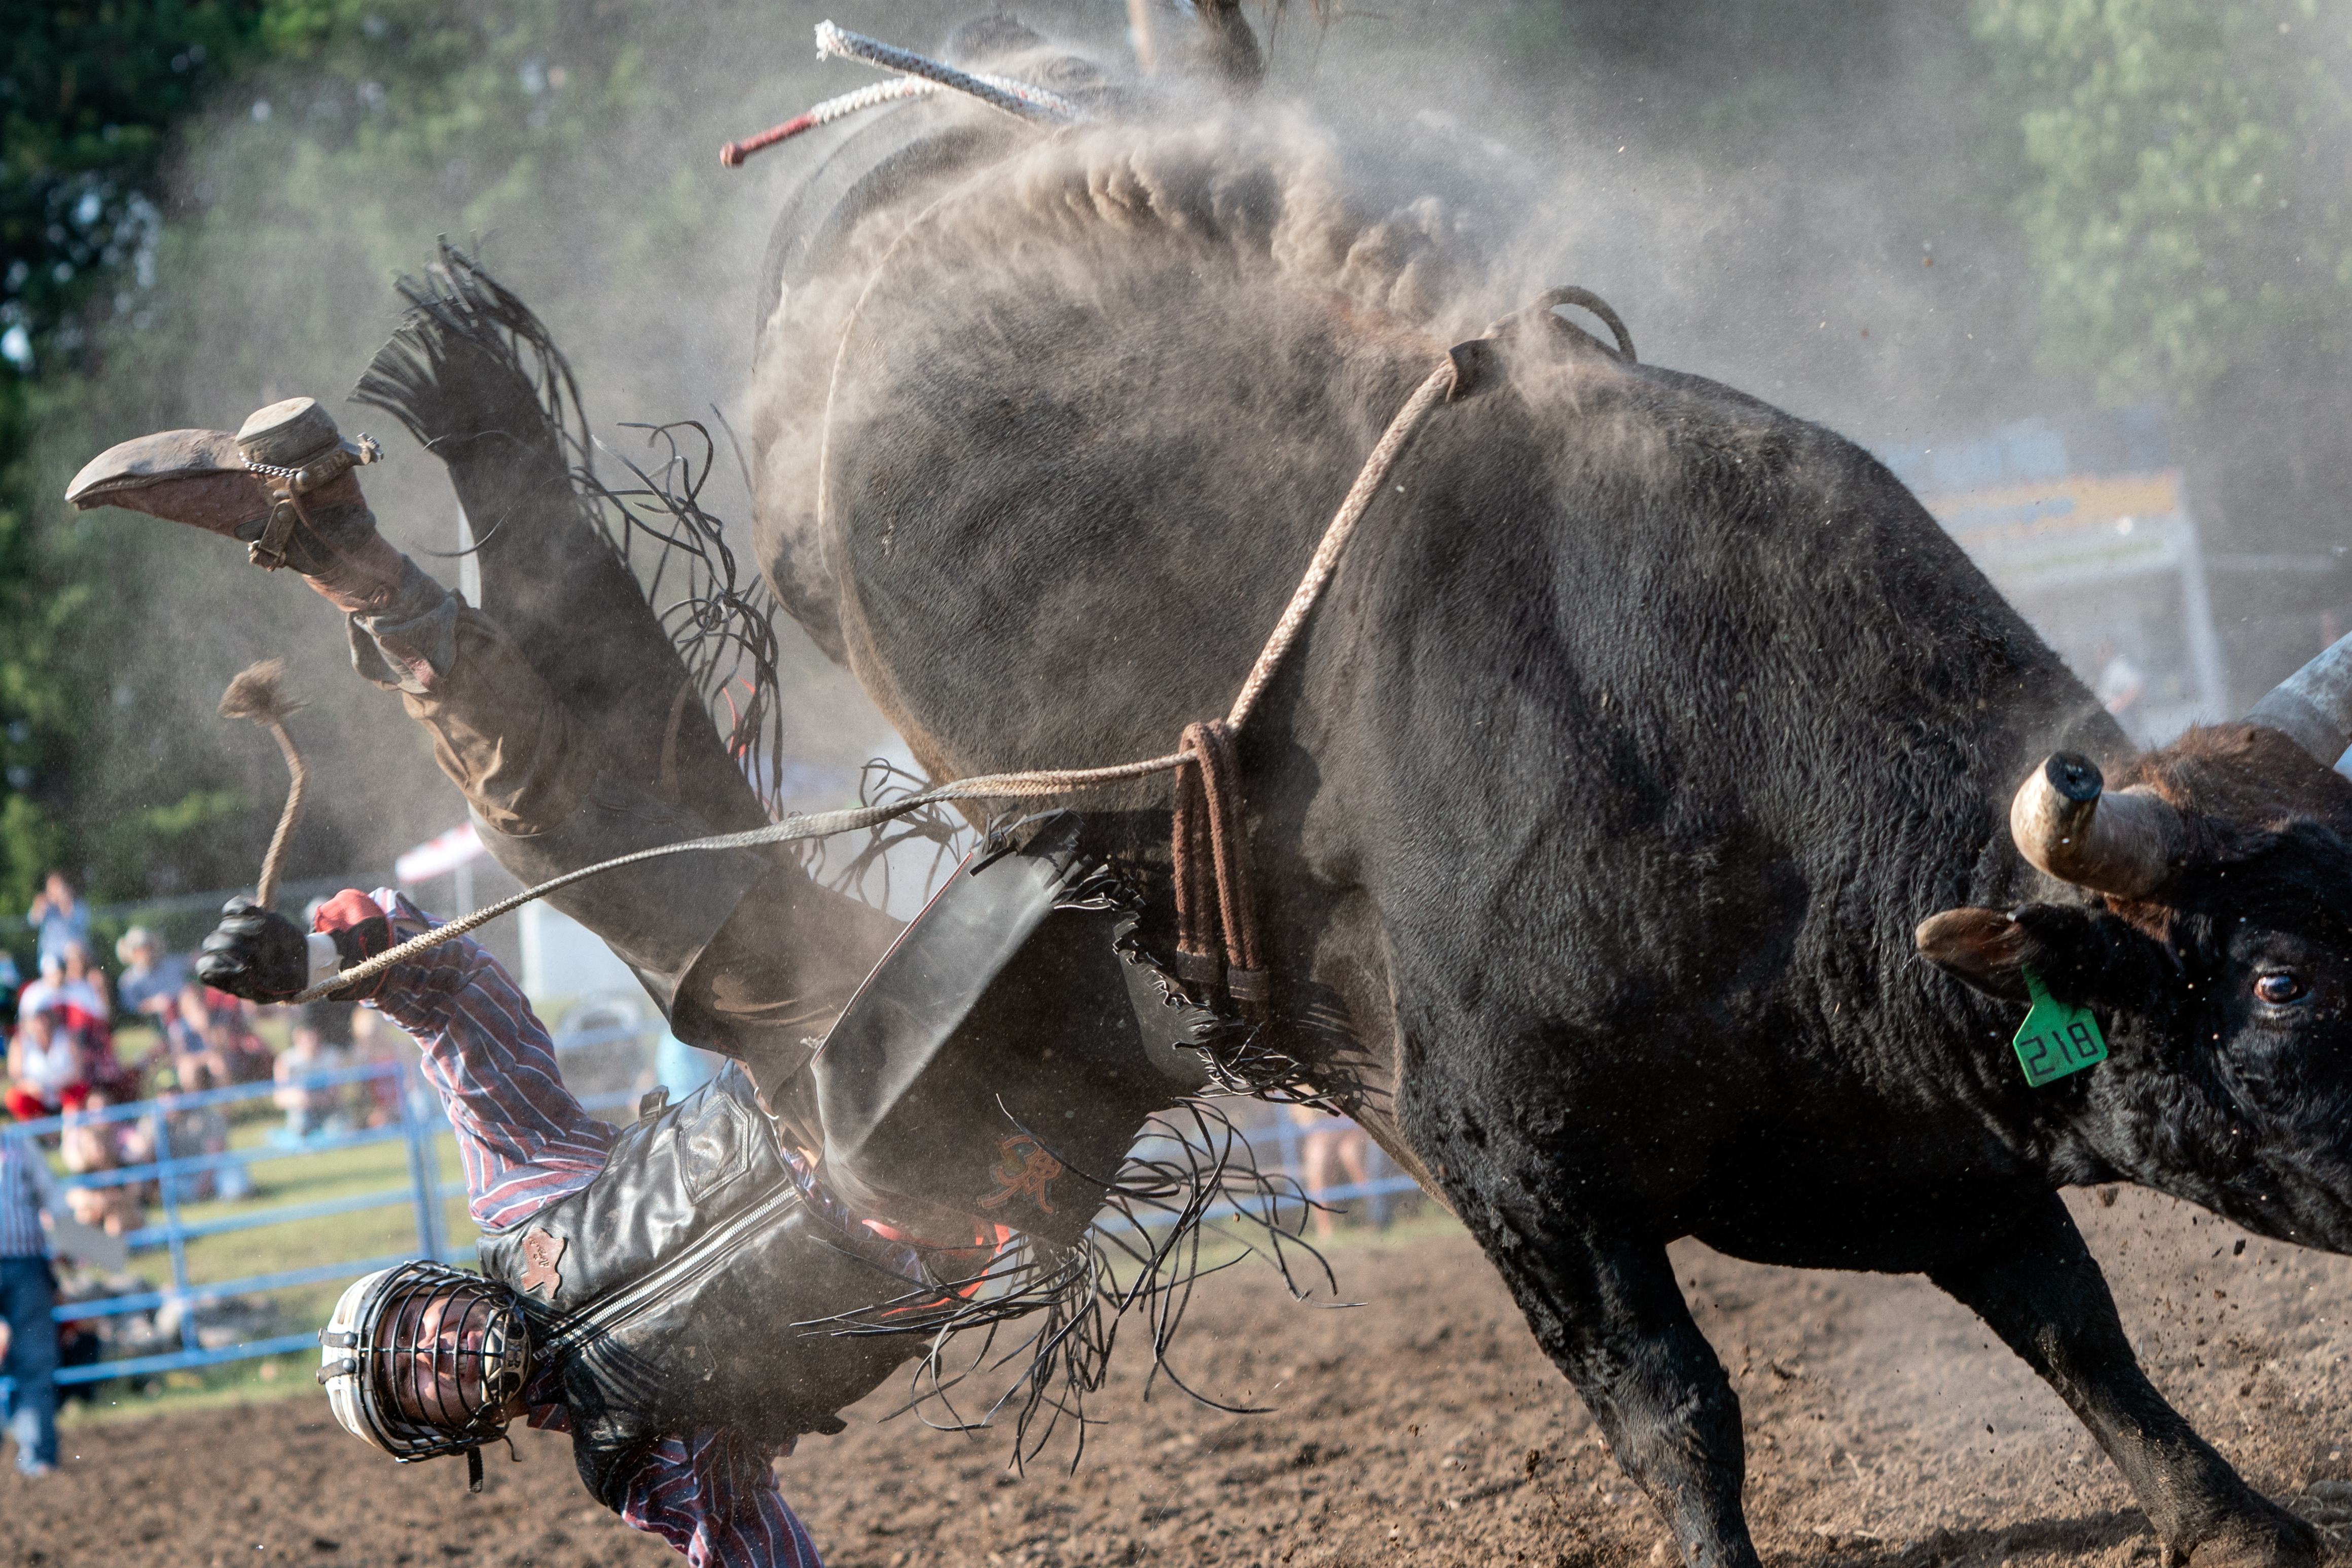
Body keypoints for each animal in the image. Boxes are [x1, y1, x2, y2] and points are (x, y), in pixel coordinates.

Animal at [739, 11, 2352, 1567]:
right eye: (2275, 982)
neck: (1739, 816)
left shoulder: (1931, 1137)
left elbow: (2071, 1318)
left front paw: (2229, 1517)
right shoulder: (1516, 1168)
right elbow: (1671, 1403)